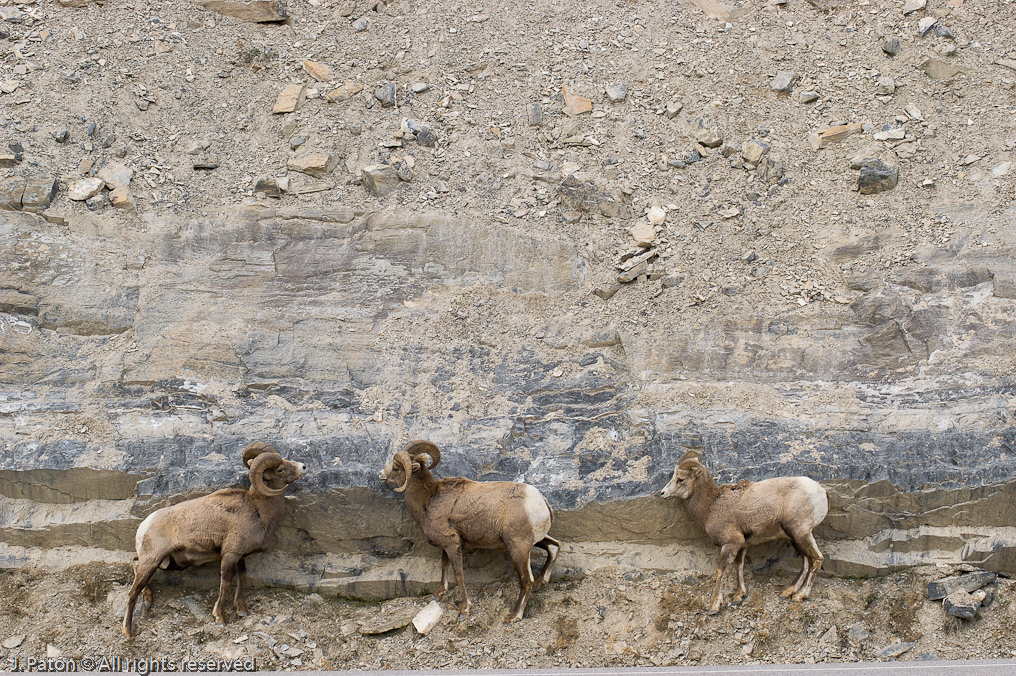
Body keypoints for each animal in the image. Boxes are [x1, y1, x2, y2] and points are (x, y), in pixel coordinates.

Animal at [121, 441, 304, 634]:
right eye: (281, 469)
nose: (303, 467)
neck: (258, 510)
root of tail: (144, 525)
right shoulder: (230, 555)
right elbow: (226, 583)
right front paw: (220, 618)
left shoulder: (240, 556)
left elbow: (242, 578)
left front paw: (241, 611)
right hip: (152, 560)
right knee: (132, 592)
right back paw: (128, 632)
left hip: (166, 563)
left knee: (135, 564)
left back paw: (148, 601)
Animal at [379, 437, 560, 622]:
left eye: (396, 467)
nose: (380, 474)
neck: (428, 499)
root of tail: (541, 502)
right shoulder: (447, 545)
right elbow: (443, 565)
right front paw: (439, 593)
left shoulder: (452, 545)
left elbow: (459, 574)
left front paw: (465, 609)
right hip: (533, 541)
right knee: (554, 546)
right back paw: (541, 582)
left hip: (518, 548)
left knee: (526, 580)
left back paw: (514, 616)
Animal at [662, 451, 829, 613]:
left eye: (680, 479)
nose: (663, 493)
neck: (711, 506)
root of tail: (821, 491)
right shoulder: (742, 546)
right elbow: (739, 567)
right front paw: (738, 596)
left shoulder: (731, 543)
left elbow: (720, 570)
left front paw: (714, 606)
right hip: (796, 538)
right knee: (807, 561)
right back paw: (788, 592)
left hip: (801, 534)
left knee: (817, 559)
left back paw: (800, 595)